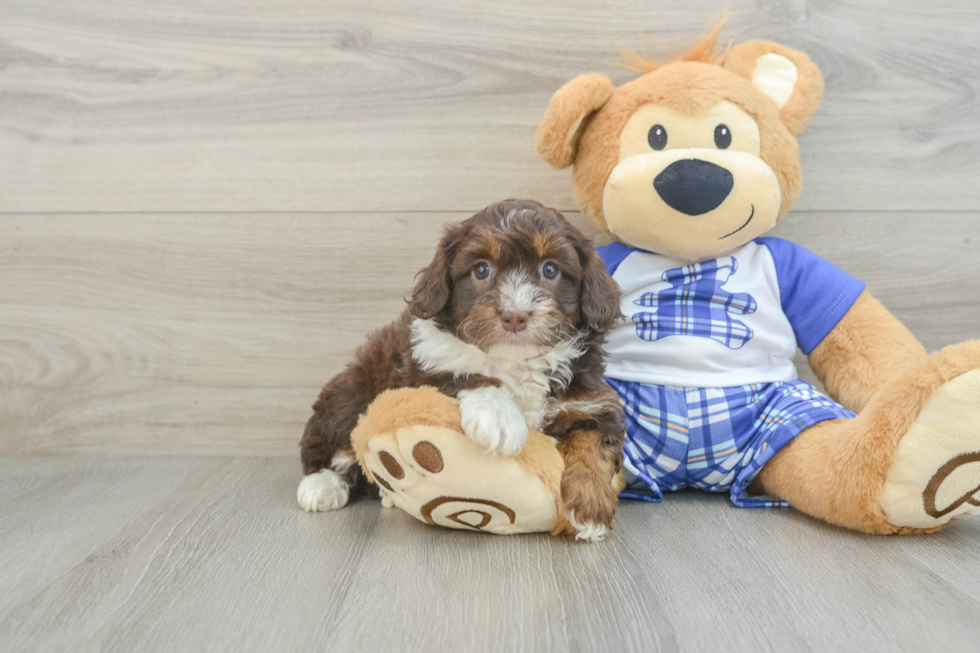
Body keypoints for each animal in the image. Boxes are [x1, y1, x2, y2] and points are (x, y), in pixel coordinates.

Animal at [294, 199, 628, 540]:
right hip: (350, 390)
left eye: (550, 269)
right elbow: (463, 372)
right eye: (481, 269)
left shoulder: (591, 401)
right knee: (334, 443)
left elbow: (596, 443)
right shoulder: (420, 369)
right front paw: (500, 420)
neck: (516, 361)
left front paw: (590, 509)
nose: (515, 316)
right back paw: (322, 485)